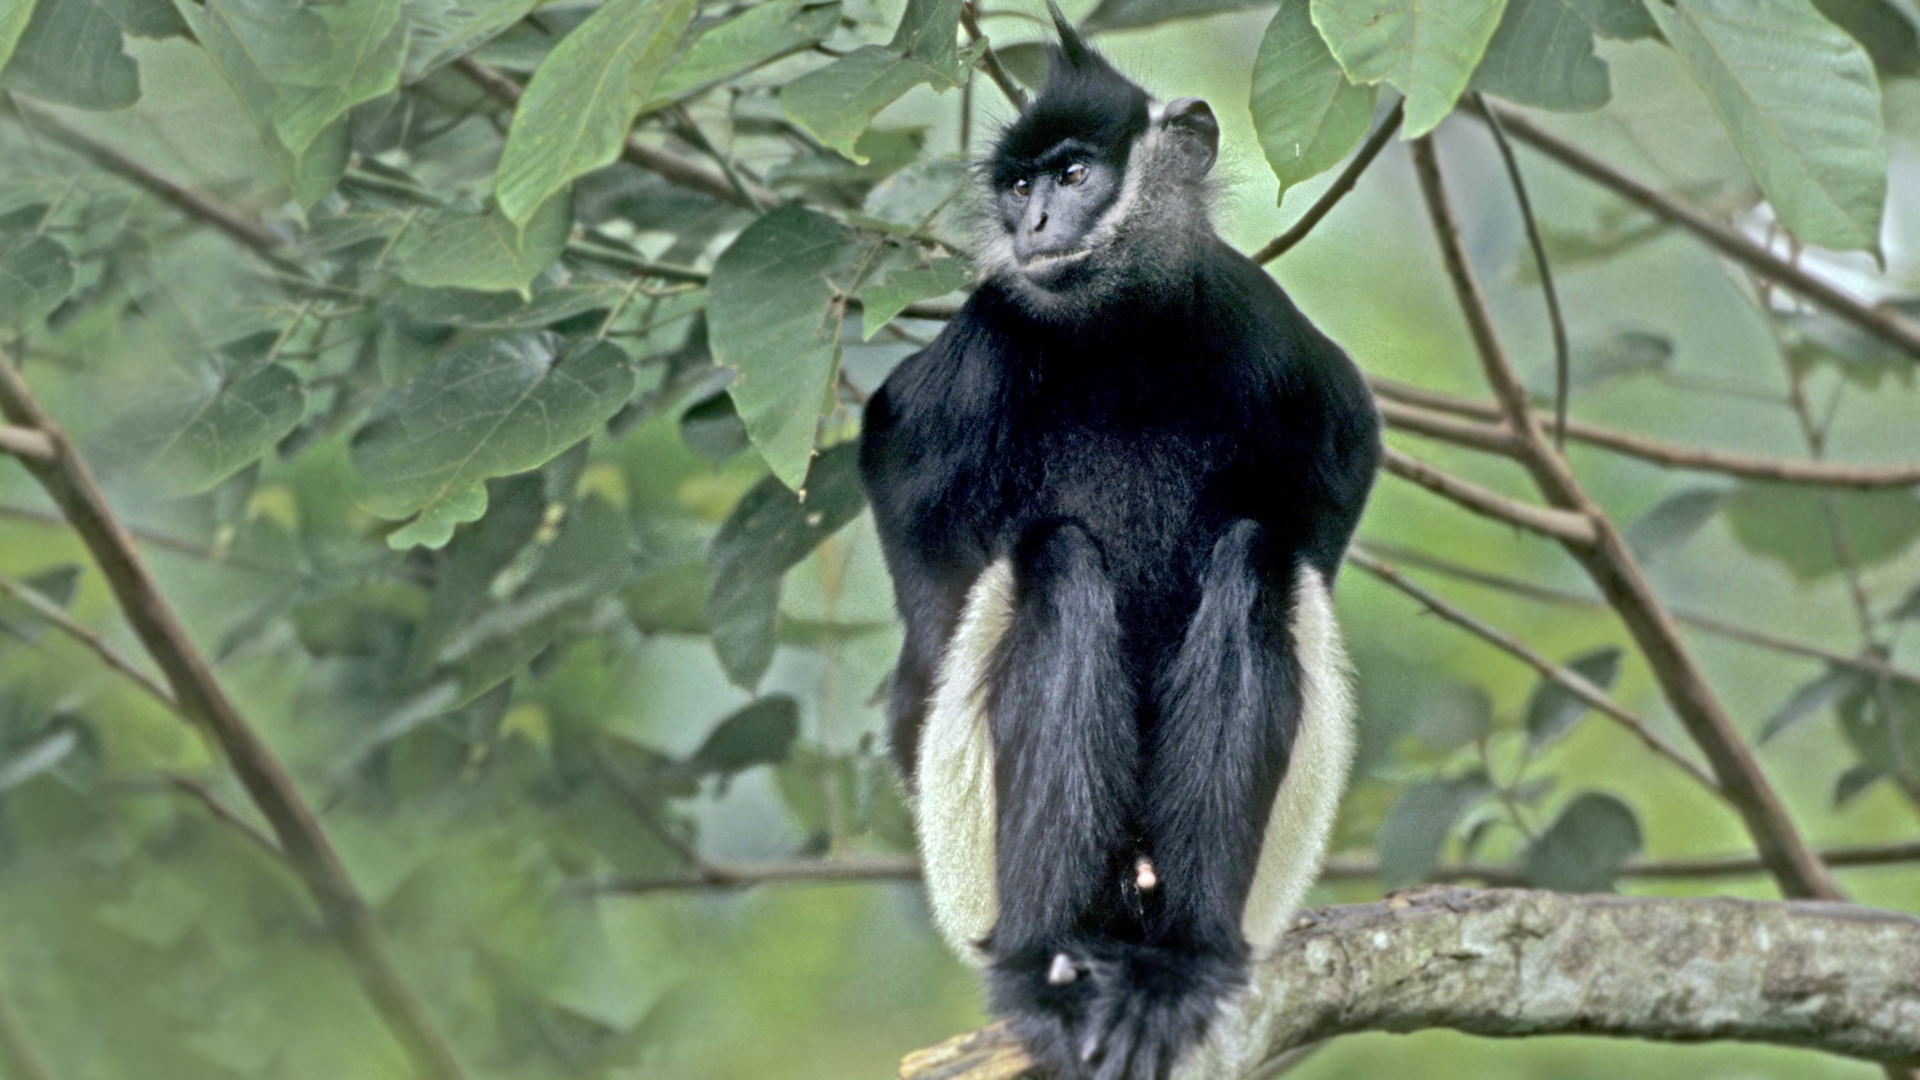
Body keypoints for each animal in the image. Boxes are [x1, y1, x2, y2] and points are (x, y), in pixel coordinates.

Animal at [860, 10, 1382, 1076]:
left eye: (1072, 175)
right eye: (1019, 188)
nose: (1033, 227)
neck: (1123, 335)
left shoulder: (1256, 323)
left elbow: (1340, 466)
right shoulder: (983, 344)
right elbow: (920, 577)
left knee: (1257, 560)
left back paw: (1174, 962)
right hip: (972, 867)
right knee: (1054, 566)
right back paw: (1051, 969)